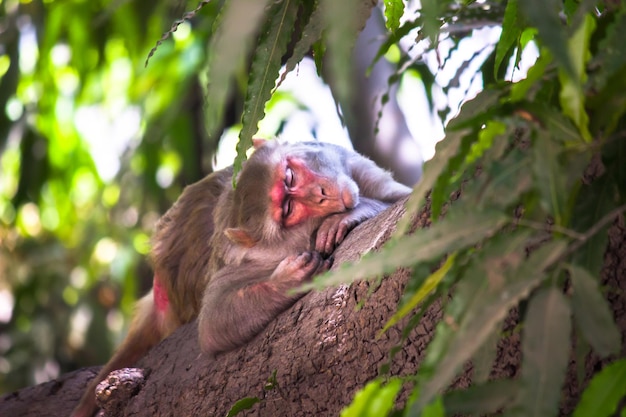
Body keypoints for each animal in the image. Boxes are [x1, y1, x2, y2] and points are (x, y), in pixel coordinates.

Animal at [70, 141, 410, 416]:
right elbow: (212, 323)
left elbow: (404, 196)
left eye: (290, 176)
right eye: (288, 208)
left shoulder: (354, 167)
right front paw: (284, 283)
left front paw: (350, 215)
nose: (323, 194)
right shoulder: (257, 260)